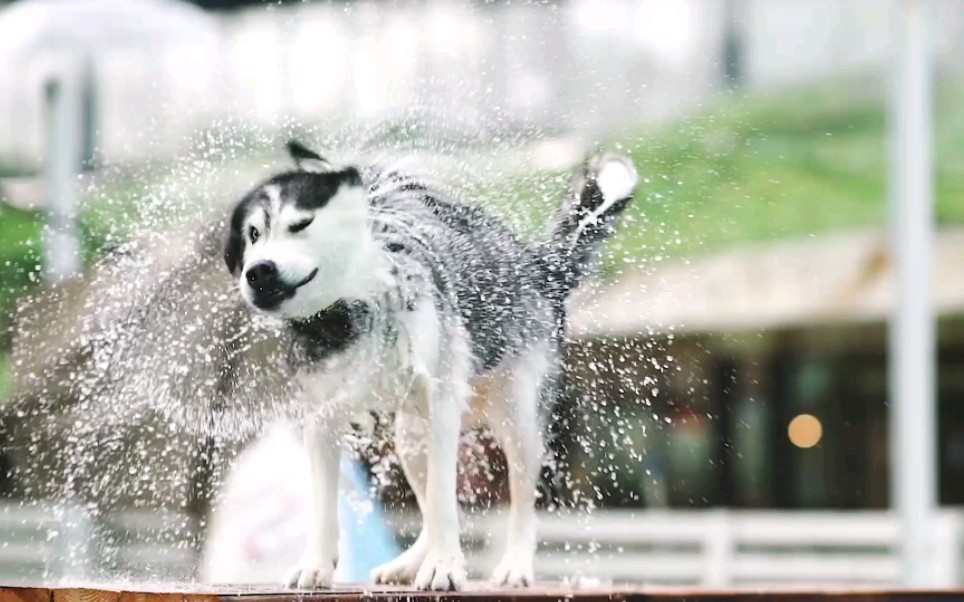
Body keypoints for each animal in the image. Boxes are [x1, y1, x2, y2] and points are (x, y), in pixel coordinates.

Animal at [222, 141, 636, 584]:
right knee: (430, 499)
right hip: (411, 437)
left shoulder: (440, 402)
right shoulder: (321, 416)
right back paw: (409, 563)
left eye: (301, 225)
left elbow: (442, 502)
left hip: (518, 418)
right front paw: (314, 565)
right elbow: (324, 505)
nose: (258, 272)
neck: (355, 307)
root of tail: (540, 267)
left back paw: (514, 565)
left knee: (518, 499)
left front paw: (444, 567)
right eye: (253, 235)